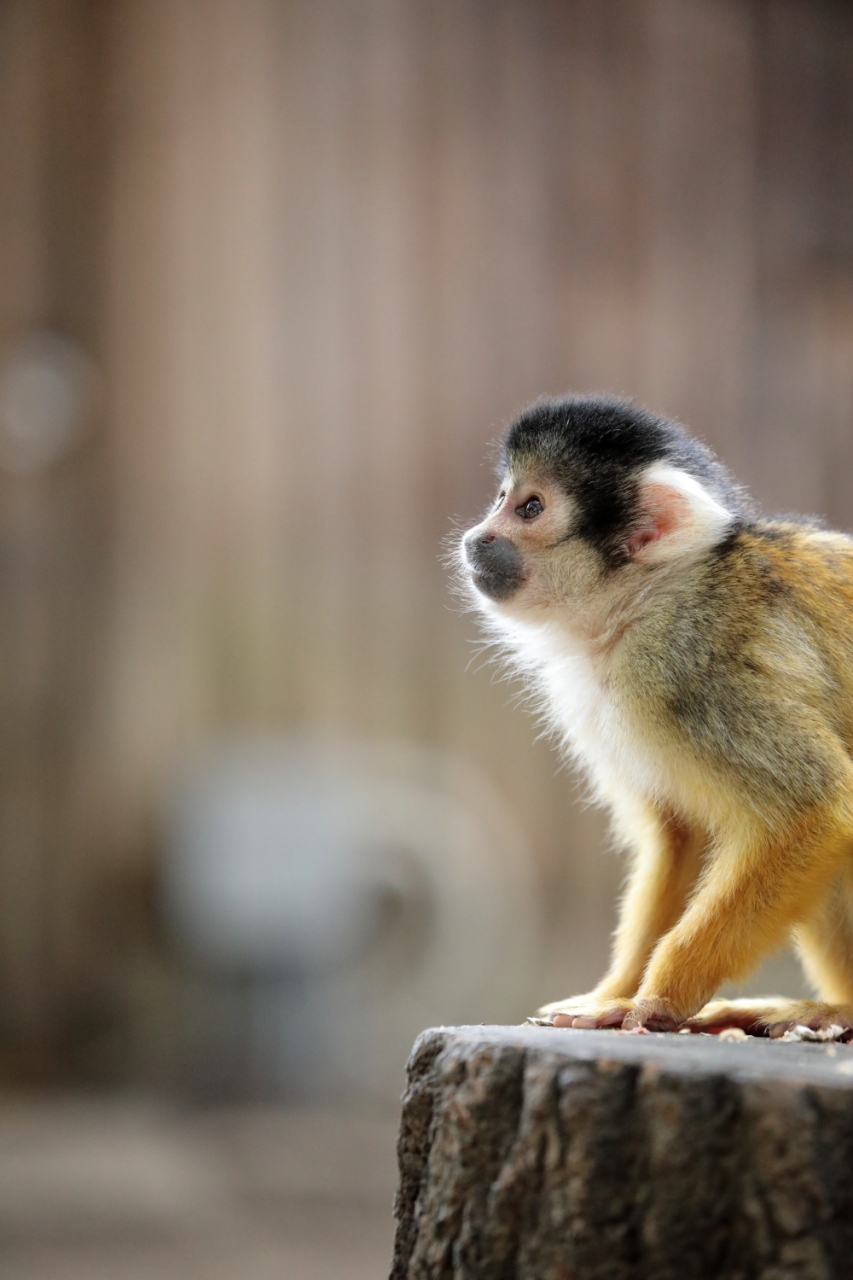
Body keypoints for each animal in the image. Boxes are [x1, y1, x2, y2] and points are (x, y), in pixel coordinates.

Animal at [458, 394, 853, 1034]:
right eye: (502, 498)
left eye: (531, 508)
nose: (477, 537)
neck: (645, 602)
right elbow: (682, 834)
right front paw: (613, 994)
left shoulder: (695, 667)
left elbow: (816, 811)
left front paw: (658, 998)